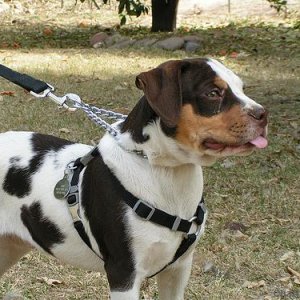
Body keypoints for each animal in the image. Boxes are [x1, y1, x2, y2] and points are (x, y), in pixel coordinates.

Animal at [0, 57, 268, 298]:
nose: (263, 114)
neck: (164, 173)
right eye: (213, 92)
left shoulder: (178, 269)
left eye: (241, 88)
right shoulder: (124, 273)